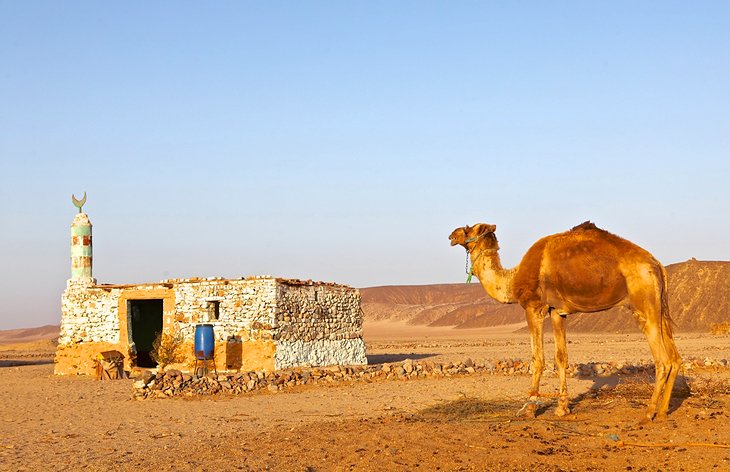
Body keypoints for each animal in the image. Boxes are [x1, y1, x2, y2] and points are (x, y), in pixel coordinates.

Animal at [446, 223, 680, 422]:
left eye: (468, 229)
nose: (452, 235)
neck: (512, 280)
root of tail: (657, 265)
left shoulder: (534, 307)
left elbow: (537, 358)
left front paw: (530, 409)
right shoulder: (557, 312)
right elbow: (561, 358)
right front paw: (562, 408)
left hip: (643, 301)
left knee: (662, 360)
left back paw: (648, 413)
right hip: (659, 307)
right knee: (675, 358)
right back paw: (663, 412)